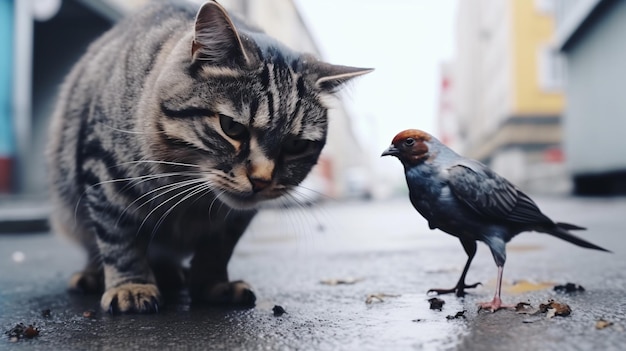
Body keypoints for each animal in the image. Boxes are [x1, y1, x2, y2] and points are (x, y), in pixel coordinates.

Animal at [48, 0, 370, 314]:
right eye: (232, 128)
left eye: (295, 145)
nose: (261, 179)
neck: (191, 198)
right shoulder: (104, 174)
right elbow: (120, 239)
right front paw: (132, 286)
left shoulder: (233, 220)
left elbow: (217, 250)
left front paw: (211, 285)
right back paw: (96, 275)